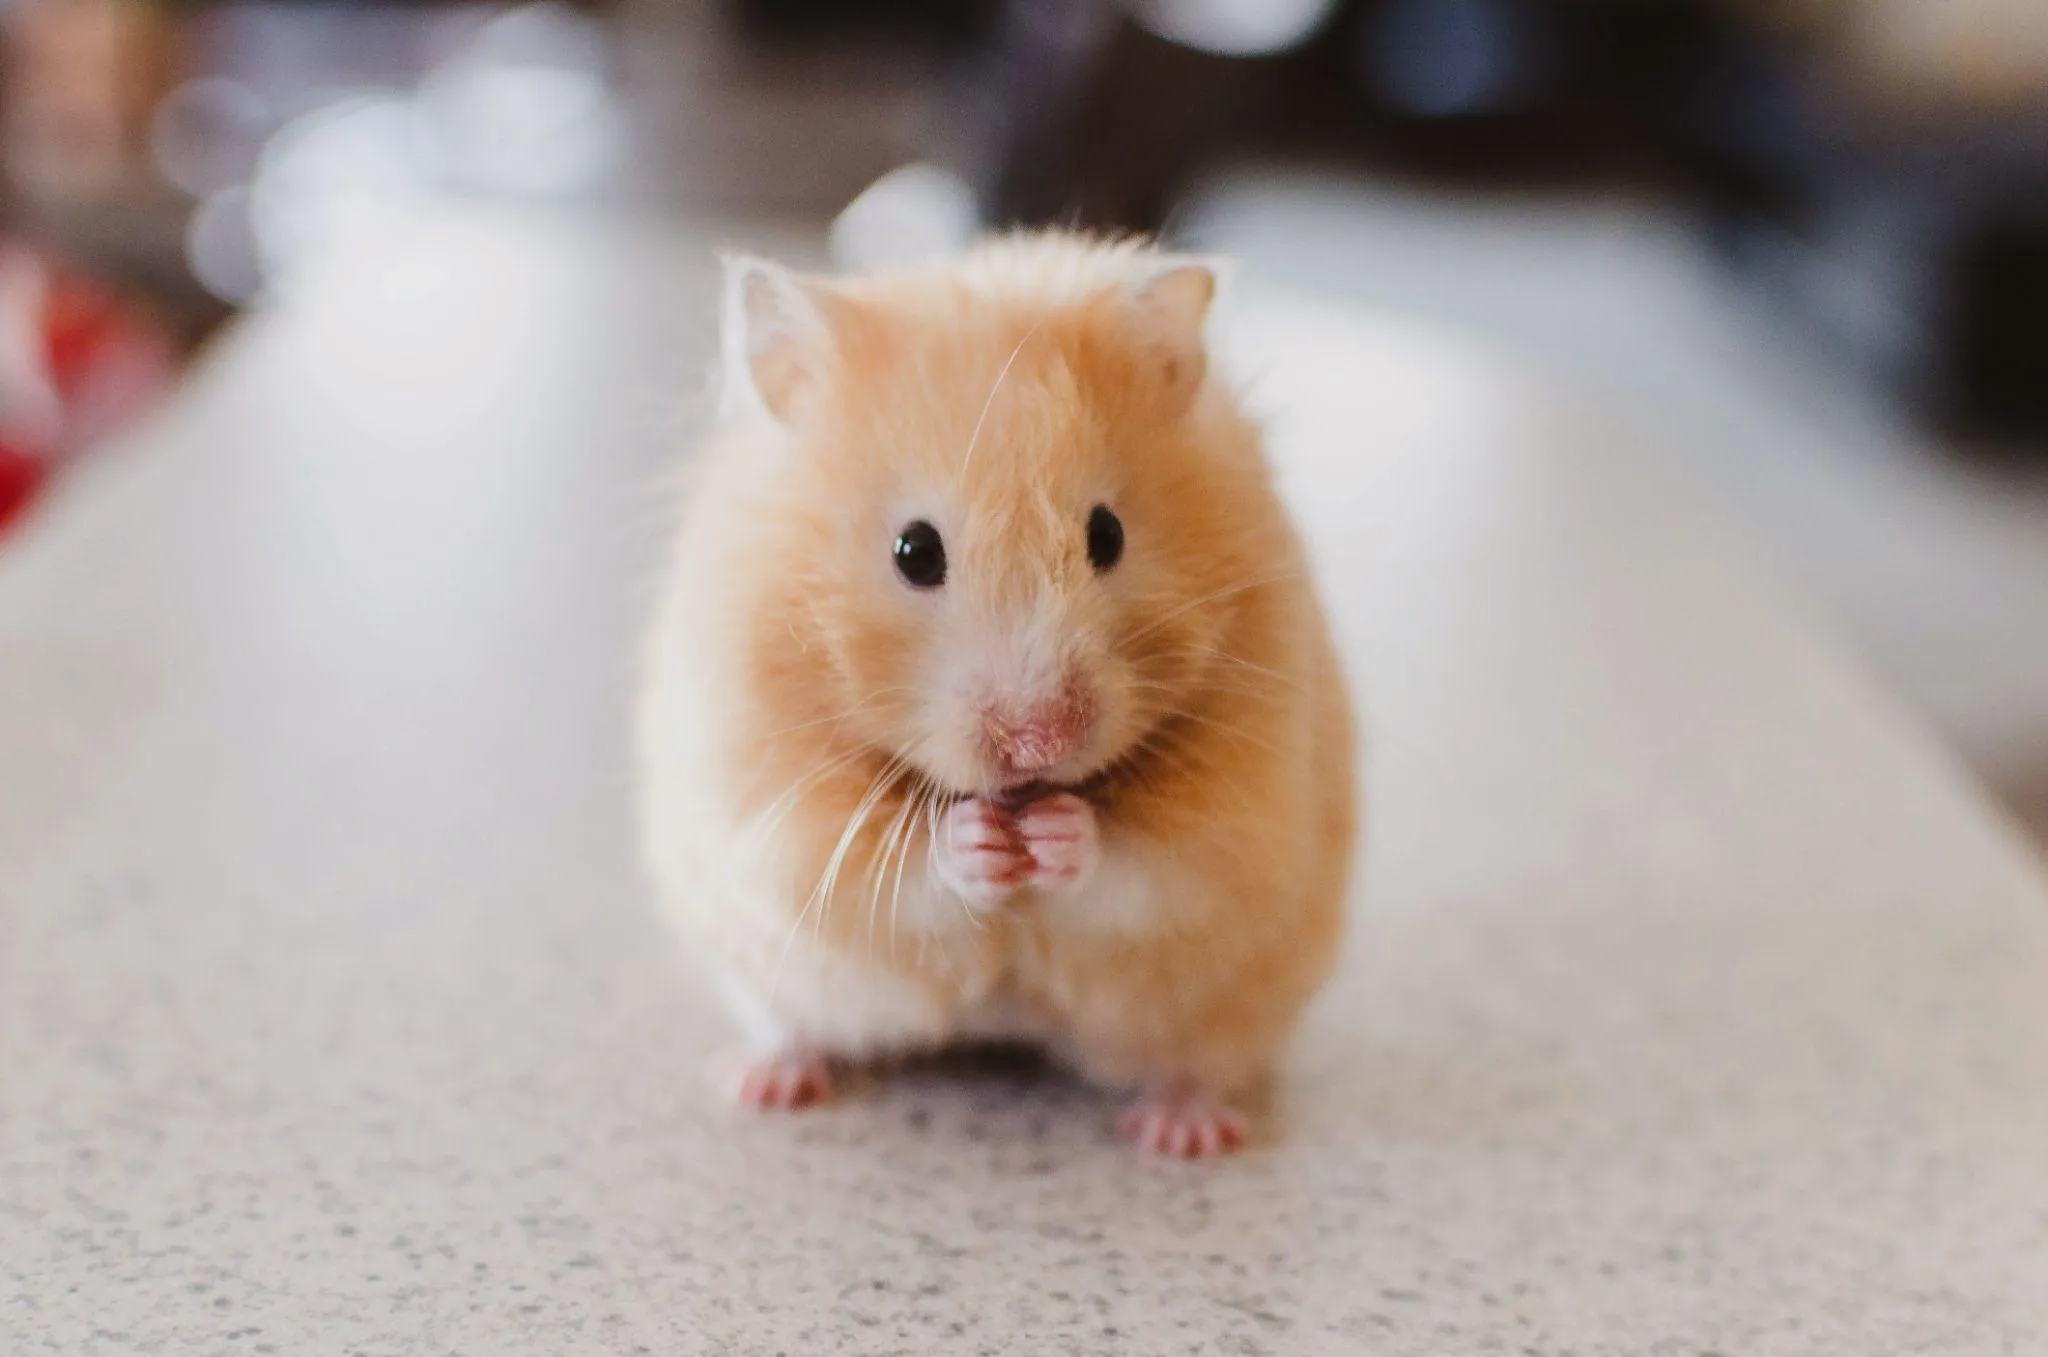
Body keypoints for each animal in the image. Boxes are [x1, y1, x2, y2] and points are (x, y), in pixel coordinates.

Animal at [636, 232, 1356, 1157]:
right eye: (914, 551)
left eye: (1107, 534)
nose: (1040, 743)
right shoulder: (773, 810)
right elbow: (895, 870)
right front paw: (979, 840)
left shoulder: (1242, 817)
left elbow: (1148, 866)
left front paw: (1056, 834)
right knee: (791, 1025)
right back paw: (762, 1082)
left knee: (1195, 1062)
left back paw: (1183, 1133)